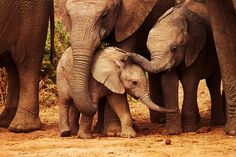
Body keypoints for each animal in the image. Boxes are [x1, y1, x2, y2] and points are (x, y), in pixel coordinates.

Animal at [126, 0, 226, 134]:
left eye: (174, 49)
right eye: (148, 49)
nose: (126, 54)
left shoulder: (198, 47)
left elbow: (189, 80)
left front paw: (189, 130)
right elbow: (169, 82)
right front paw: (173, 131)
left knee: (213, 82)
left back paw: (217, 122)